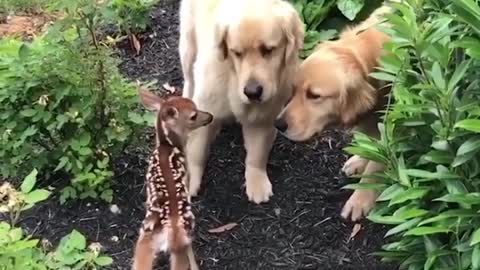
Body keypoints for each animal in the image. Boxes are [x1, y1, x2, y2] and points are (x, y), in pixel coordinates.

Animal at [178, 0, 306, 202]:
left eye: (268, 50)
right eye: (236, 53)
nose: (252, 92)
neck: (234, 76)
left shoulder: (264, 115)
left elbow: (257, 152)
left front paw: (257, 181)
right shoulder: (206, 100)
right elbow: (195, 149)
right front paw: (189, 179)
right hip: (188, 46)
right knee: (189, 80)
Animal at [276, 4, 392, 220]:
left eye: (314, 95)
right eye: (294, 90)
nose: (278, 125)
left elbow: (376, 164)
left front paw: (359, 201)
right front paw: (359, 160)